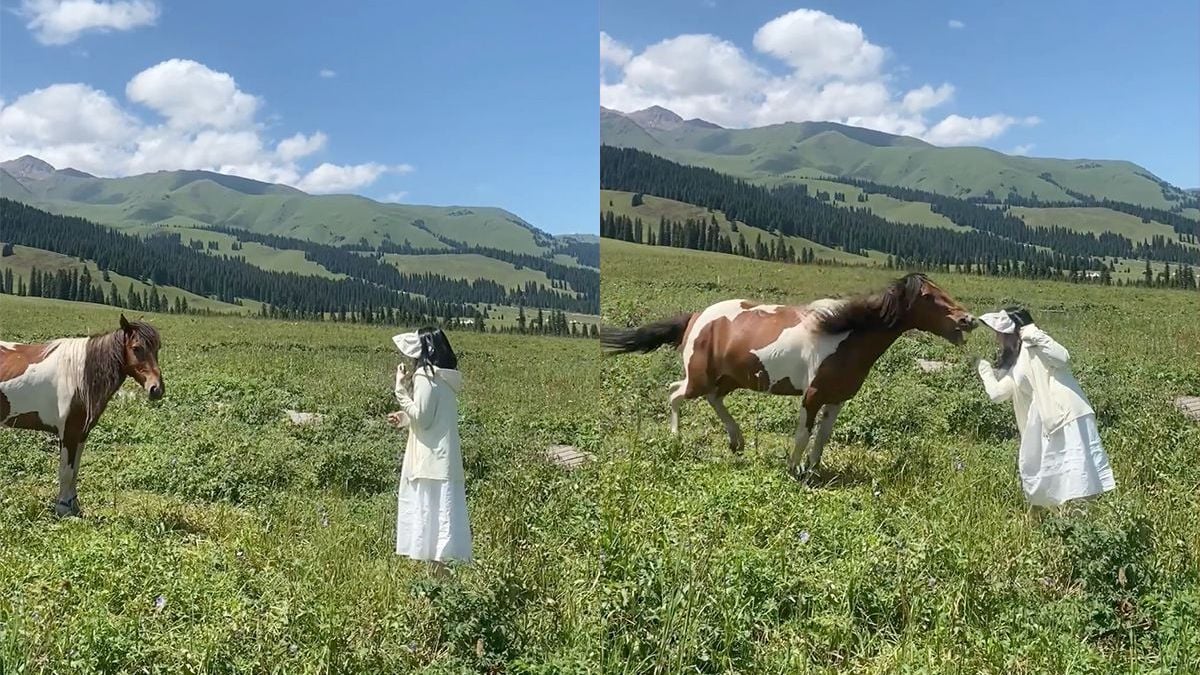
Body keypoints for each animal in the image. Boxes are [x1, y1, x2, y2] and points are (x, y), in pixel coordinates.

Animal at [0, 314, 164, 514]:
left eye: (157, 348)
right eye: (136, 348)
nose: (156, 389)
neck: (78, 376)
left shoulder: (81, 434)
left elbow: (75, 471)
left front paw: (74, 506)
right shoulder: (68, 434)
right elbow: (66, 471)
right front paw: (63, 508)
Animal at [604, 271, 979, 473]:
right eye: (929, 297)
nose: (968, 320)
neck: (843, 334)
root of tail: (697, 316)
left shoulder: (837, 399)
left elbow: (823, 436)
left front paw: (813, 470)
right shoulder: (812, 396)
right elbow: (802, 434)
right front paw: (794, 469)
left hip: (728, 379)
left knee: (712, 398)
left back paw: (736, 441)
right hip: (699, 377)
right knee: (675, 393)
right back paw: (676, 438)